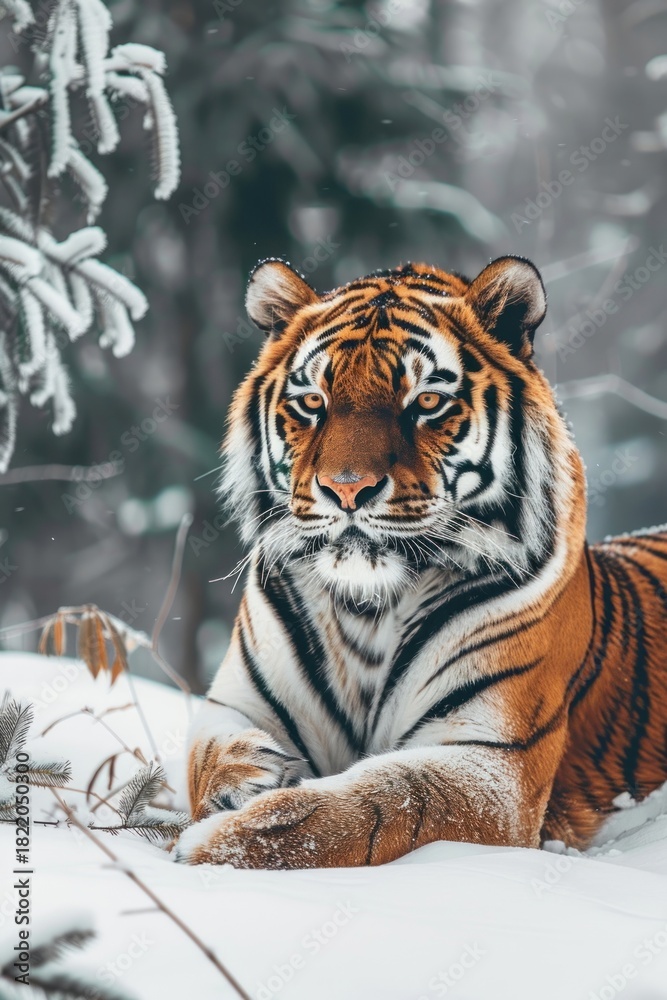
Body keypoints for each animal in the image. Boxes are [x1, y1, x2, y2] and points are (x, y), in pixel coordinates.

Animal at [174, 255, 667, 870]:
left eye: (427, 403)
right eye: (312, 403)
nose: (347, 488)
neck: (366, 607)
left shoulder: (491, 762)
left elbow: (375, 803)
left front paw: (214, 848)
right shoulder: (237, 704)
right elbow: (206, 750)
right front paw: (245, 778)